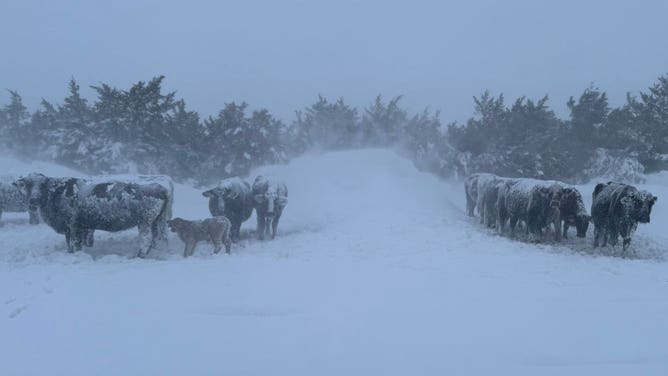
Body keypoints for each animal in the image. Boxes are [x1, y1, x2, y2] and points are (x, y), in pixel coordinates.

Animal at [15, 174, 174, 258]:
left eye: (43, 184)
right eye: (28, 184)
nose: (34, 200)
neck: (59, 193)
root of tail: (161, 186)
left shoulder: (74, 226)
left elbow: (74, 243)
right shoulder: (80, 227)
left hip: (144, 222)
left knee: (146, 239)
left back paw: (139, 255)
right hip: (157, 221)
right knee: (158, 238)